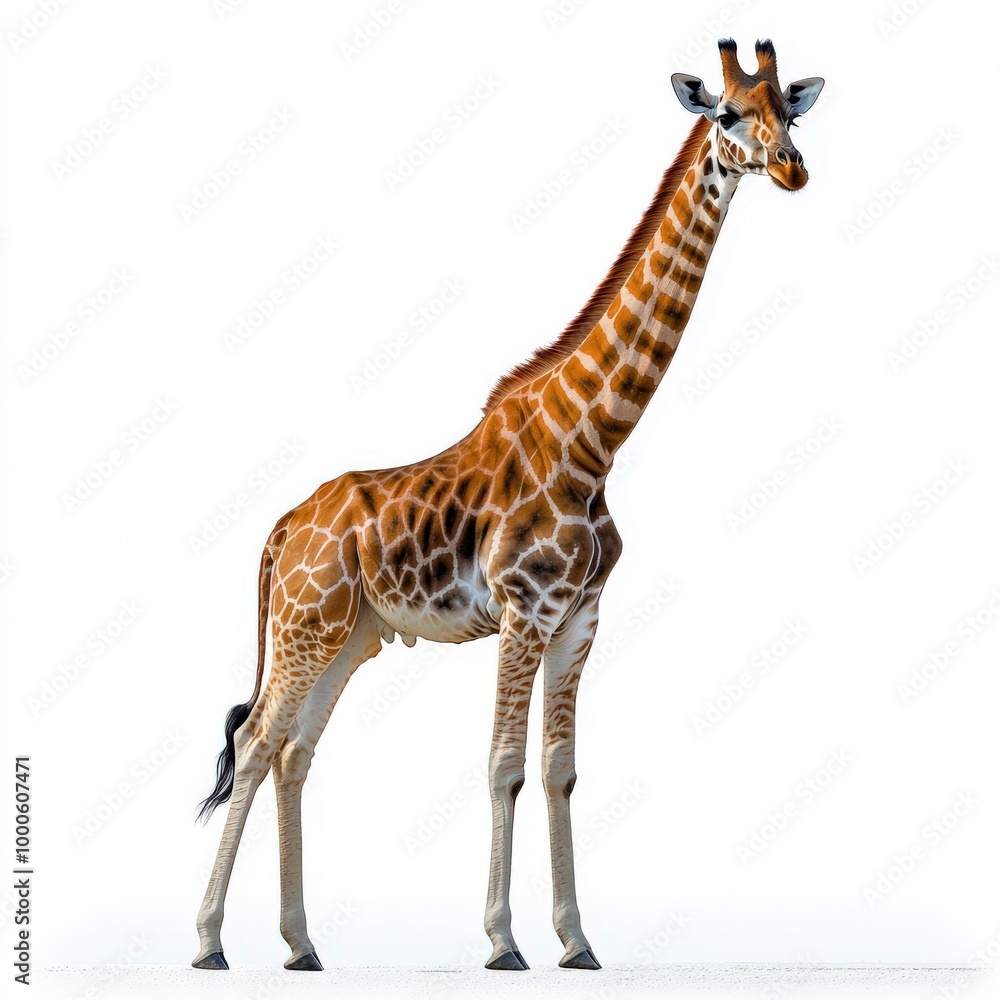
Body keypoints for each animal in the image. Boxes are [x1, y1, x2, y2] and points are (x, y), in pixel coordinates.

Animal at [193, 38, 823, 973]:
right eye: (728, 113)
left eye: (791, 111)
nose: (791, 168)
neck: (594, 441)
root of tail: (279, 530)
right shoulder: (525, 611)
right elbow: (504, 764)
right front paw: (501, 941)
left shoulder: (581, 617)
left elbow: (560, 767)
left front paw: (577, 941)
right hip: (307, 624)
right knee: (255, 740)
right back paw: (208, 941)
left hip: (352, 635)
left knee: (296, 750)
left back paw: (301, 945)